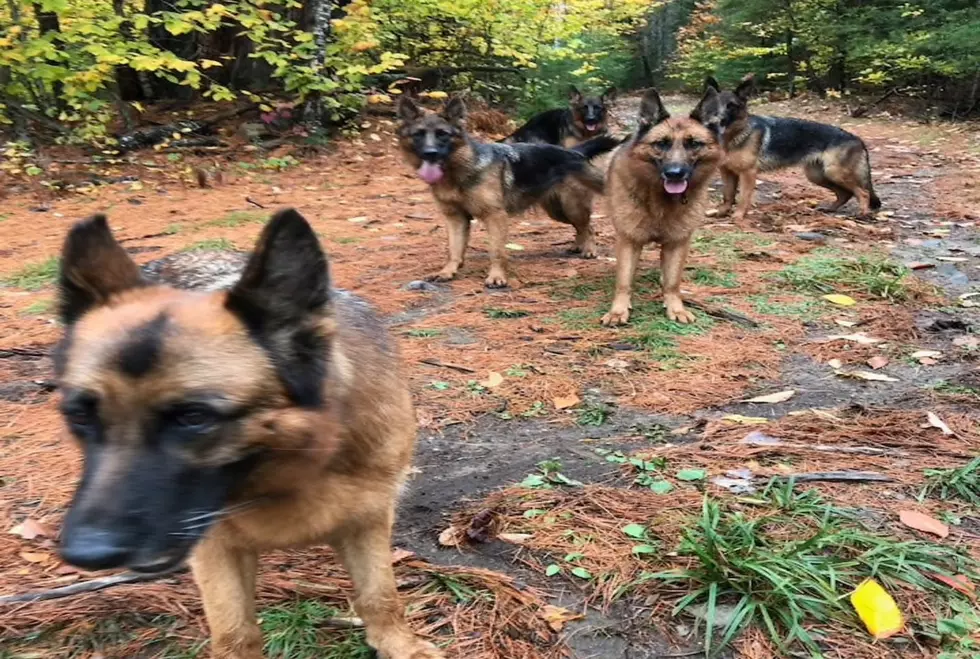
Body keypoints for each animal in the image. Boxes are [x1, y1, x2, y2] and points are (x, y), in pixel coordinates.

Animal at [53, 211, 444, 659]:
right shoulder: (216, 550)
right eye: (79, 416)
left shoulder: (367, 522)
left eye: (193, 417)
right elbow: (235, 631)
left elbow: (381, 595)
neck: (294, 469)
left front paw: (401, 645)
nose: (85, 553)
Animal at [396, 94, 612, 286]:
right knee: (580, 228)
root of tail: (573, 152)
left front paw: (497, 277)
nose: (430, 153)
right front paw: (448, 271)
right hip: (558, 212)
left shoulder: (495, 216)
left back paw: (589, 250)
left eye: (442, 134)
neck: (460, 170)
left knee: (588, 226)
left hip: (571, 207)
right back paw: (578, 246)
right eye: (418, 135)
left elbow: (497, 251)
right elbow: (454, 250)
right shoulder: (456, 219)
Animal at [600, 86, 724, 328]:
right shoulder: (628, 241)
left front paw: (675, 307)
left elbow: (673, 282)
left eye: (694, 143)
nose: (674, 173)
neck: (660, 199)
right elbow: (624, 281)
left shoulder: (677, 243)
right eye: (662, 143)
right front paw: (618, 311)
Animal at [704, 75, 880, 224]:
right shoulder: (727, 172)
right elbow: (727, 195)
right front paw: (722, 212)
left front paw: (738, 216)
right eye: (713, 106)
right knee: (845, 193)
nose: (713, 123)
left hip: (834, 172)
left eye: (731, 106)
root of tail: (857, 138)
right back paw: (830, 209)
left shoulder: (748, 174)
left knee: (863, 192)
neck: (734, 136)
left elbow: (743, 197)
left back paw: (863, 214)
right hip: (818, 176)